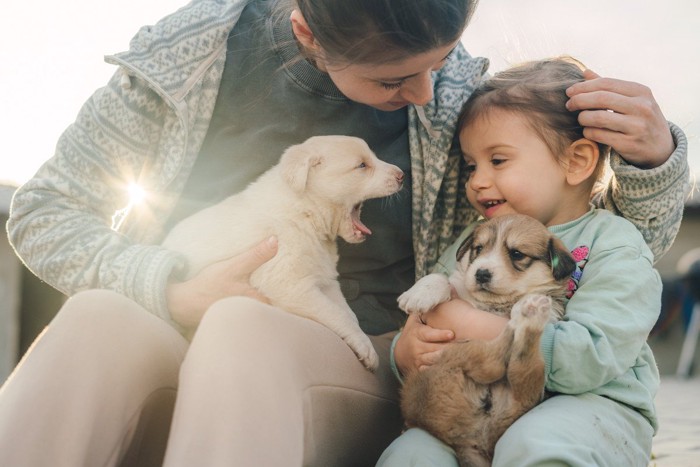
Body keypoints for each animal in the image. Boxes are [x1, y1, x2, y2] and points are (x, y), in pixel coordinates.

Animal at [163, 133, 404, 372]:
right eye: (362, 165)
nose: (402, 175)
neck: (306, 212)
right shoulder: (290, 284)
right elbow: (337, 314)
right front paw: (365, 348)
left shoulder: (326, 281)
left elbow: (348, 313)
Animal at [396, 216, 576, 467]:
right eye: (478, 249)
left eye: (517, 254)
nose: (481, 274)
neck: (494, 303)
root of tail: (472, 436)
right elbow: (441, 278)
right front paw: (420, 294)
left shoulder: (553, 313)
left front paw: (526, 303)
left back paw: (527, 313)